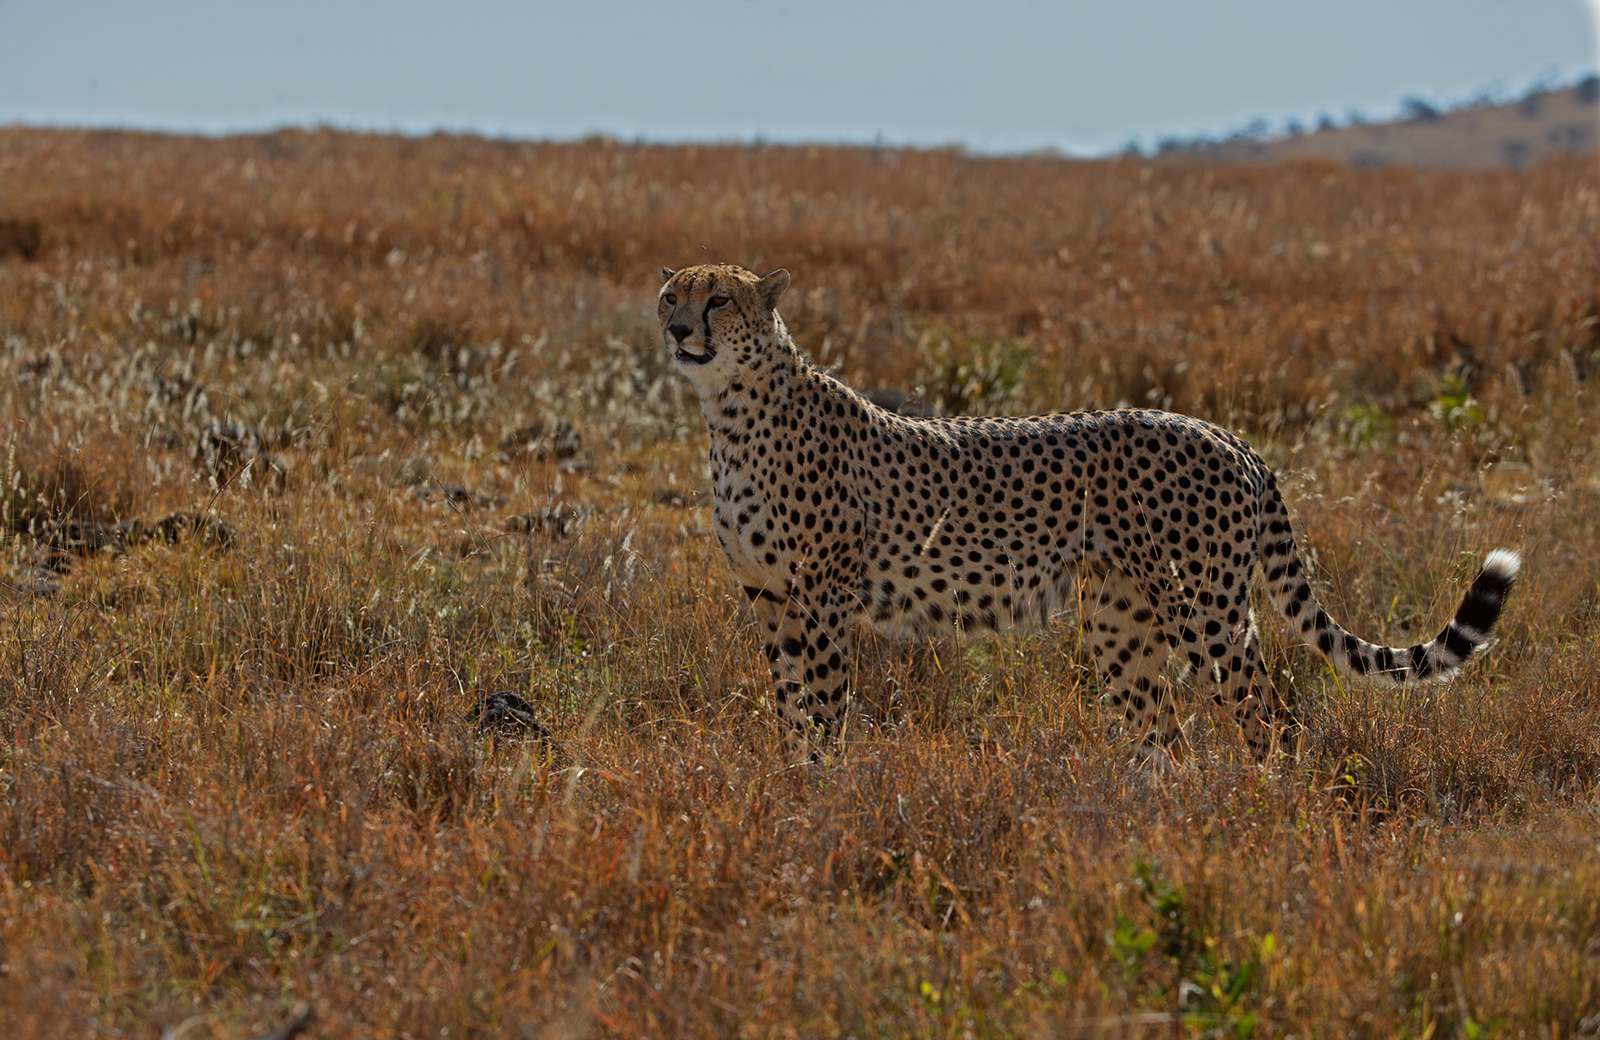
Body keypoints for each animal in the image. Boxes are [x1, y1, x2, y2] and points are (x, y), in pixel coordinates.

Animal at [658, 262, 1521, 764]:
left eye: (719, 299)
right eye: (671, 294)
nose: (675, 327)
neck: (731, 410)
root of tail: (1219, 429)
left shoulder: (823, 594)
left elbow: (824, 706)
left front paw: (823, 796)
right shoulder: (768, 595)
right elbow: (788, 705)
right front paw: (791, 788)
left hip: (1205, 611)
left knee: (1266, 716)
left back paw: (1266, 819)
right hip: (1121, 616)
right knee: (1165, 740)